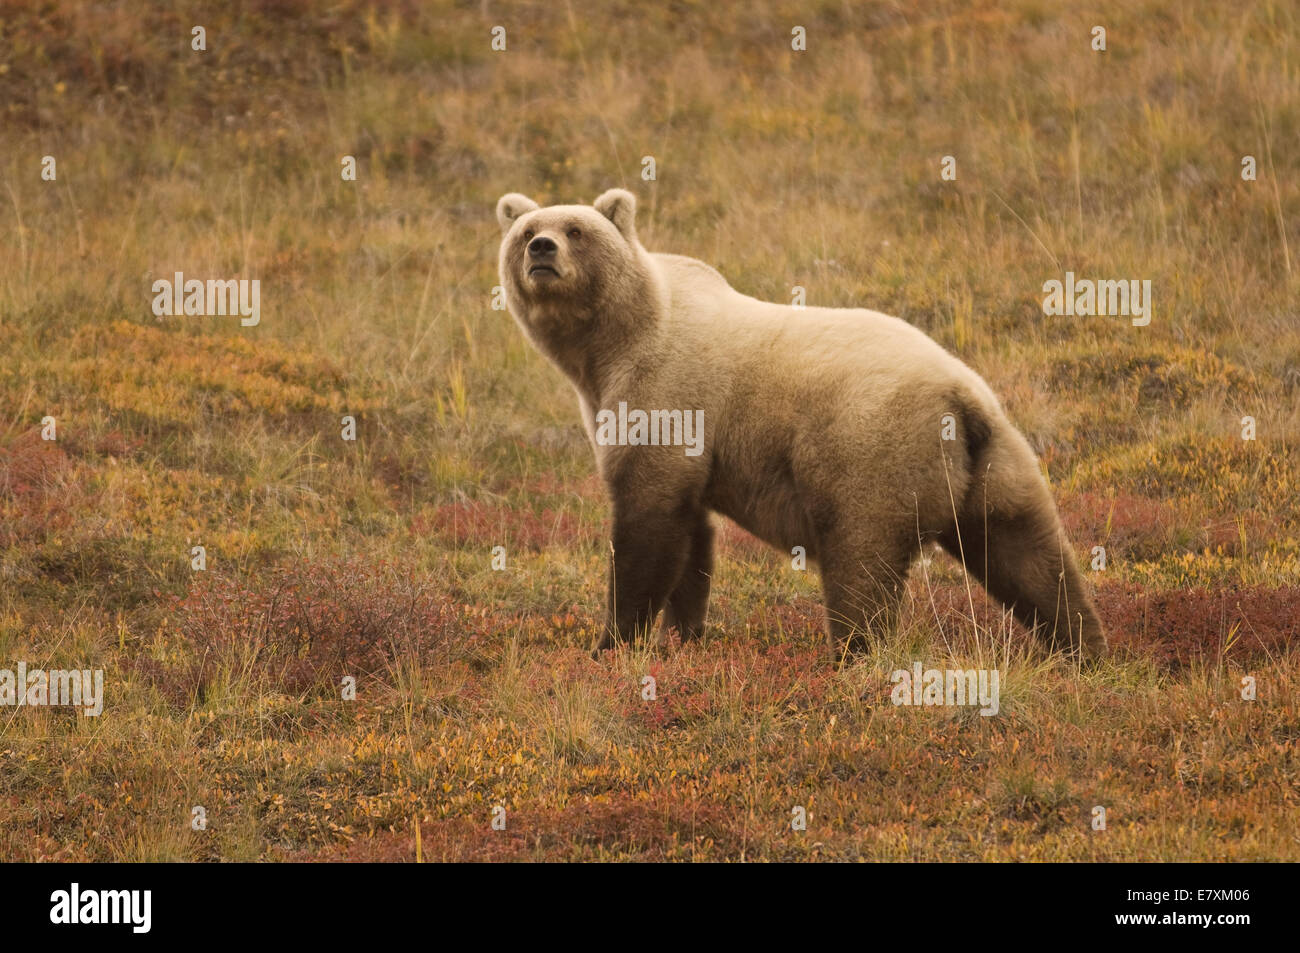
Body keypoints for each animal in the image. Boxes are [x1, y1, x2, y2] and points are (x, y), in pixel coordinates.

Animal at [496, 187, 1107, 660]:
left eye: (576, 228)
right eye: (526, 228)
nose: (542, 249)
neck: (608, 348)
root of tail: (960, 396)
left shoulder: (668, 395)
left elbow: (648, 525)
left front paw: (613, 642)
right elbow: (692, 539)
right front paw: (684, 635)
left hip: (871, 451)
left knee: (861, 567)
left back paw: (853, 656)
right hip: (998, 464)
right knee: (1030, 559)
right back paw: (1084, 651)